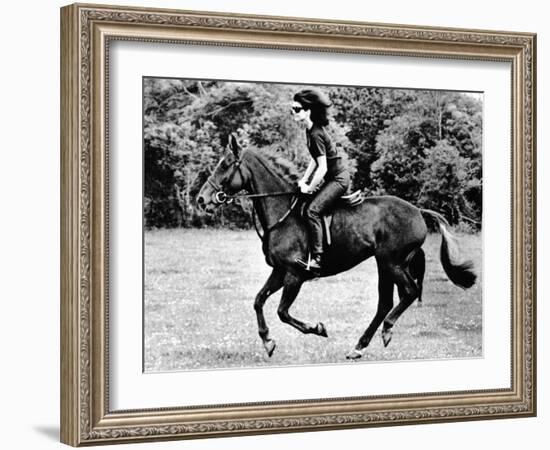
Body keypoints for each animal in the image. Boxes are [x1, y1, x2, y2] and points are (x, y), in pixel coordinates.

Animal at [196, 135, 476, 360]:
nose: (201, 199)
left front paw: (317, 329)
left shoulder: (295, 275)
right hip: (384, 264)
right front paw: (267, 341)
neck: (282, 213)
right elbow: (258, 301)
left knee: (408, 292)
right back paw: (359, 347)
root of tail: (418, 211)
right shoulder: (279, 272)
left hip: (391, 262)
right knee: (385, 302)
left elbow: (282, 312)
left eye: (225, 164)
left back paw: (385, 330)